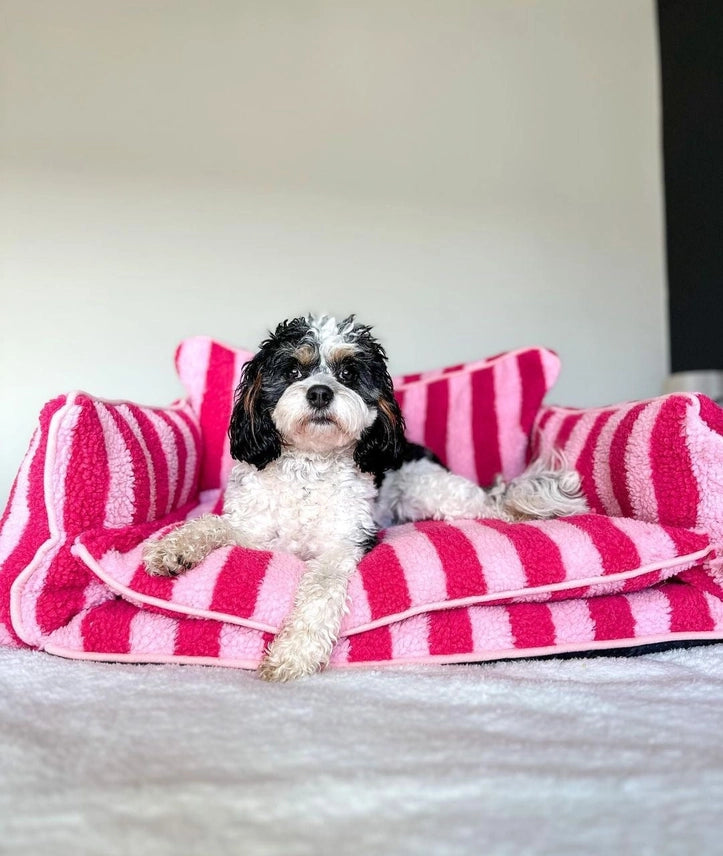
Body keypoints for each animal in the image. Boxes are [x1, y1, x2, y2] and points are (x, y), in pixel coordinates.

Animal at [143, 314, 588, 684]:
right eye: (293, 370)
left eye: (348, 372)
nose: (320, 393)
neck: (310, 467)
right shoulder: (252, 530)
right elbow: (210, 524)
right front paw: (172, 549)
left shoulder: (343, 546)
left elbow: (320, 592)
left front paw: (293, 653)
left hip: (435, 491)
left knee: (491, 504)